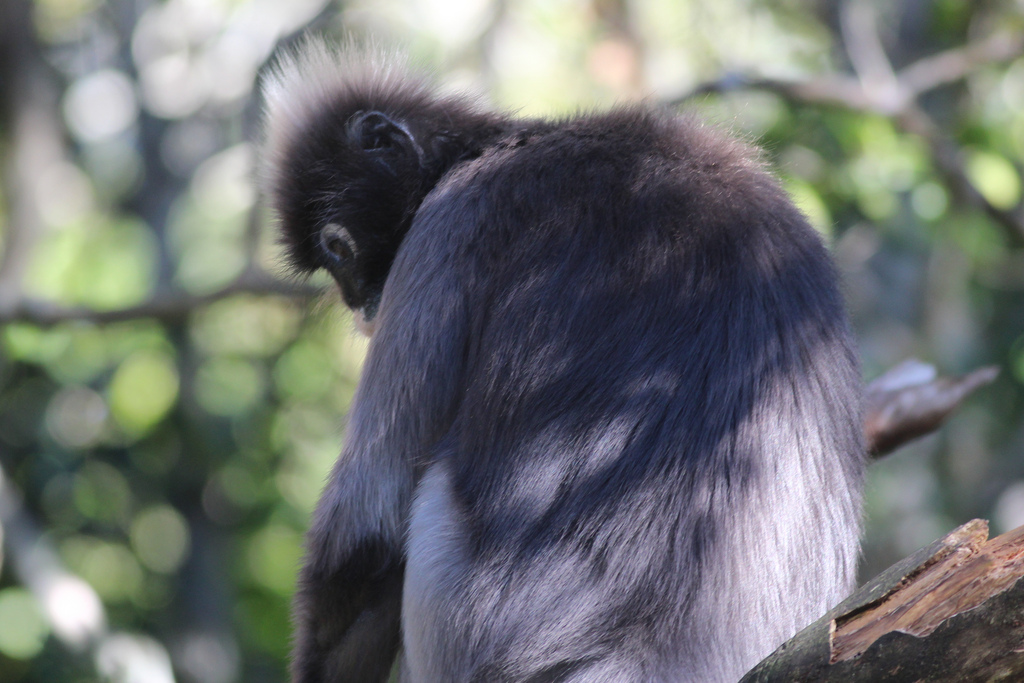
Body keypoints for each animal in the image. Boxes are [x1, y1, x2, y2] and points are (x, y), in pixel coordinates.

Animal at [261, 39, 865, 683]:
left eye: (338, 250)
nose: (356, 300)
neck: (491, 146)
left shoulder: (449, 222)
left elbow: (367, 530)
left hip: (464, 616)